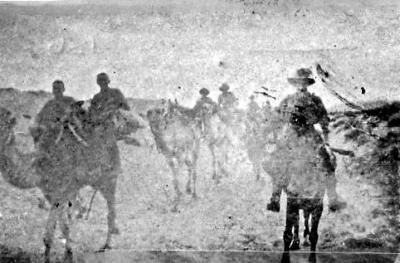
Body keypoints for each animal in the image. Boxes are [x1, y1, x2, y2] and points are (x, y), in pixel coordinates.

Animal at [0, 102, 132, 263]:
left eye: (4, 124)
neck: (39, 165)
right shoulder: (52, 194)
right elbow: (63, 226)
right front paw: (68, 254)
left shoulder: (60, 192)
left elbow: (48, 235)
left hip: (109, 178)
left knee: (111, 211)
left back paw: (106, 245)